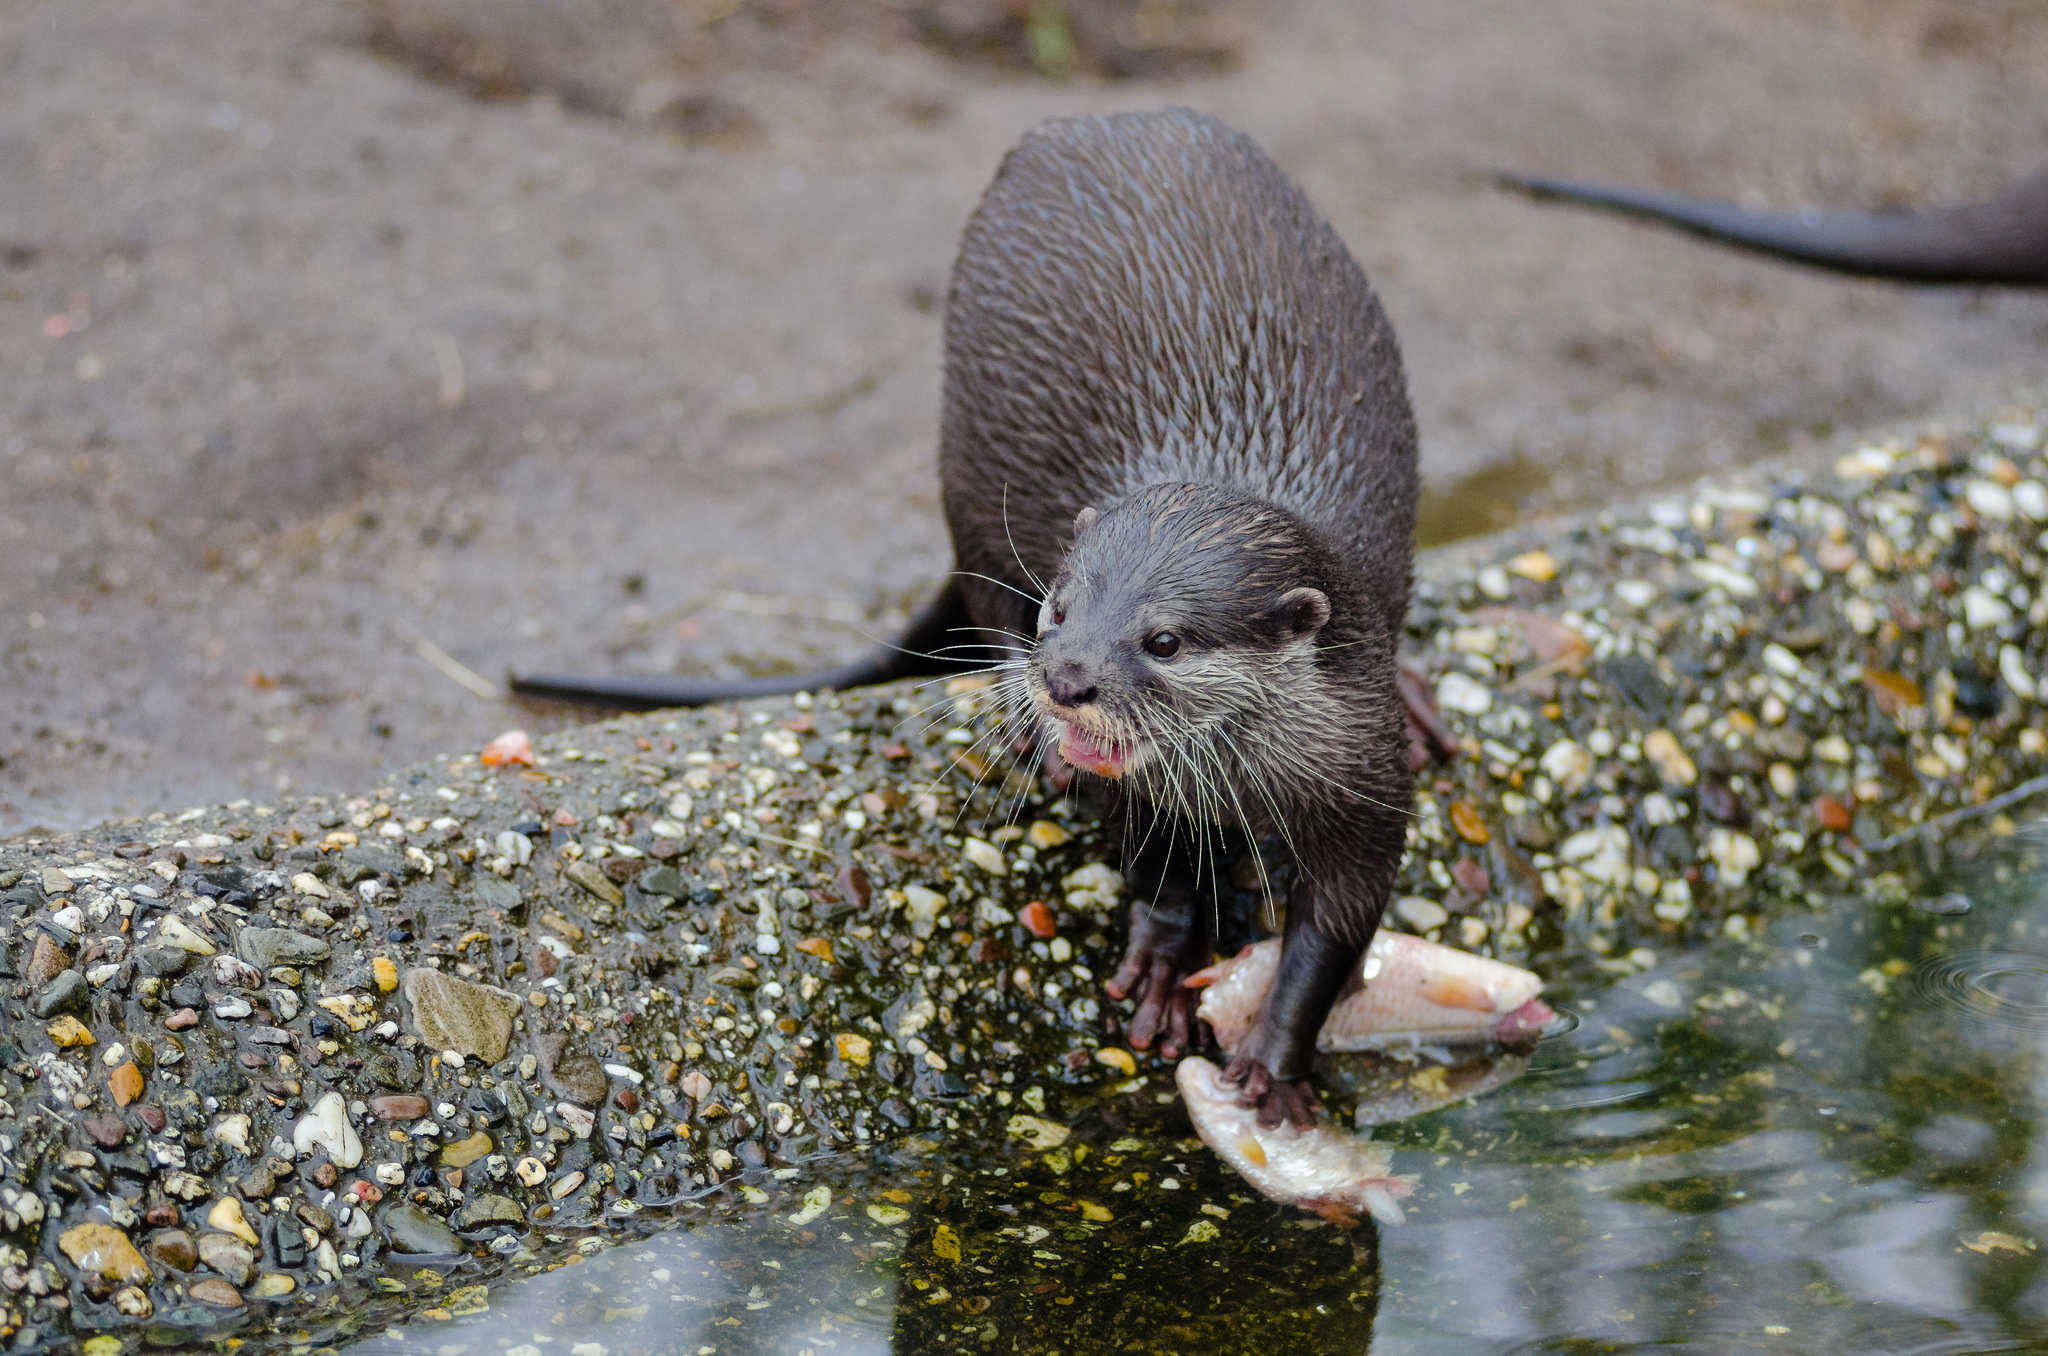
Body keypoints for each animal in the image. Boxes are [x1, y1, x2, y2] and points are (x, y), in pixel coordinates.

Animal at [520, 103, 1433, 1122]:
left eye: (1163, 639)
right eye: (1063, 610)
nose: (1065, 680)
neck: (1248, 777)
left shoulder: (1365, 775)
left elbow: (1338, 928)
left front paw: (1275, 1063)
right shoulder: (1132, 777)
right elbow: (1156, 863)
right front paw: (1167, 963)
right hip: (963, 460)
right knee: (981, 580)